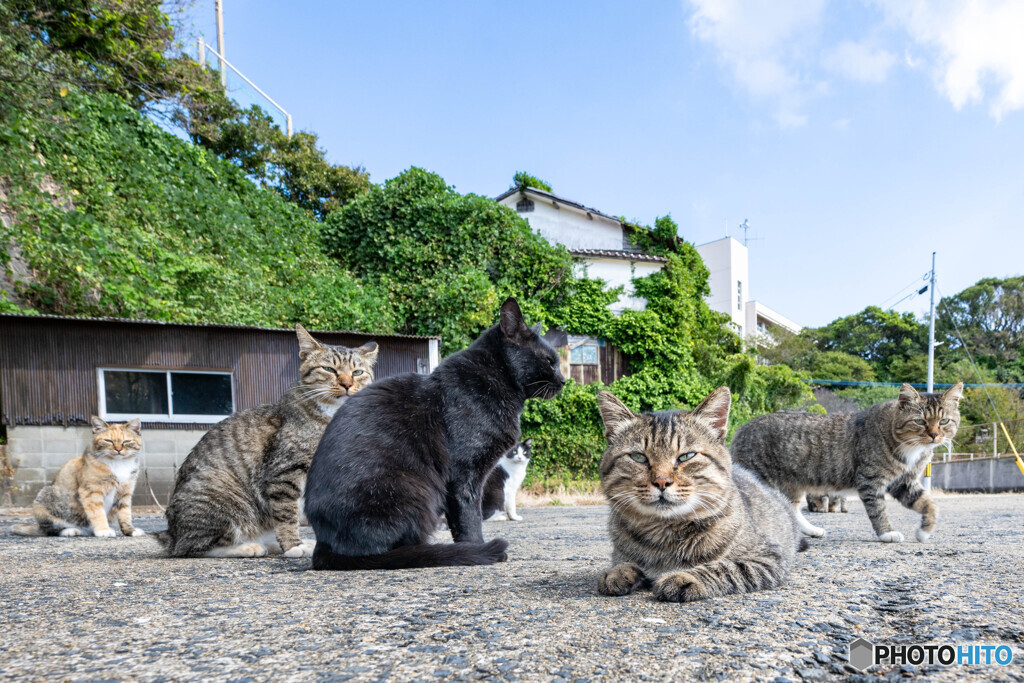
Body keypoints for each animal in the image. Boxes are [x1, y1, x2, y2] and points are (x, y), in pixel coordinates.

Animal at [12, 417, 146, 540]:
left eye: (127, 441)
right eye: (108, 441)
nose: (118, 449)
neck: (118, 464)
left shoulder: (125, 493)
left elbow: (125, 514)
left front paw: (130, 530)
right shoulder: (90, 491)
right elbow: (97, 512)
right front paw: (103, 530)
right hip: (43, 499)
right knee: (52, 530)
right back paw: (71, 530)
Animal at [157, 327, 382, 561]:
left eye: (357, 372)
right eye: (329, 369)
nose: (347, 384)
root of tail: (171, 534)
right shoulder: (284, 473)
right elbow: (286, 514)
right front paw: (293, 545)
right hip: (219, 492)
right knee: (193, 547)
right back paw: (248, 547)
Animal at [598, 387, 802, 606]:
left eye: (686, 456)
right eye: (639, 457)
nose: (661, 481)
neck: (665, 532)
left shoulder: (768, 558)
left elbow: (725, 567)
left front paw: (685, 577)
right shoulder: (620, 551)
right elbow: (622, 560)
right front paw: (618, 572)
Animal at [733, 385, 962, 544]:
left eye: (944, 421)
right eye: (920, 421)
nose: (934, 435)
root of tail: (741, 429)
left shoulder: (903, 482)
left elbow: (929, 504)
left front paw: (924, 532)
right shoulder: (870, 479)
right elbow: (878, 509)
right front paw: (887, 533)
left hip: (792, 485)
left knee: (791, 507)